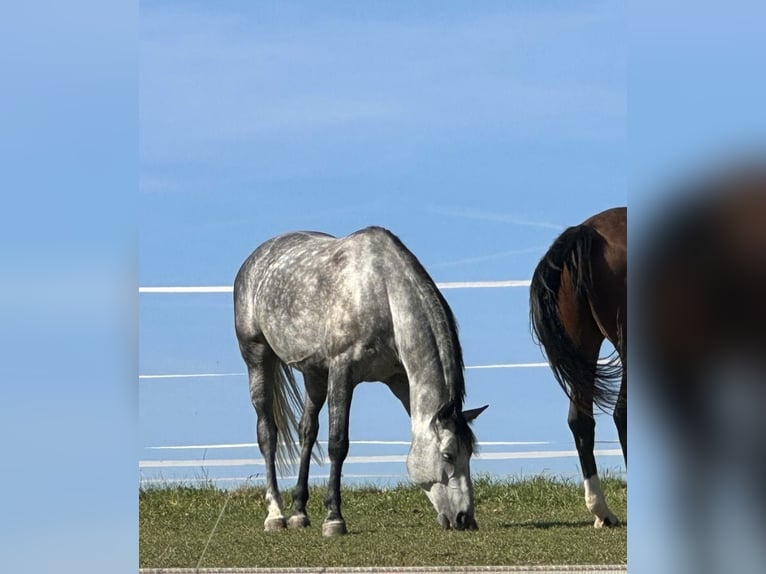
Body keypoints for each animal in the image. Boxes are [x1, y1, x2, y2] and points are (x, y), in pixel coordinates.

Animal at [233, 226, 488, 536]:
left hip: (313, 374)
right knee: (268, 433)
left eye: (470, 454)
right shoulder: (342, 371)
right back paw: (275, 514)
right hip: (257, 355)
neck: (384, 294)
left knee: (306, 430)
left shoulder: (400, 380)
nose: (464, 519)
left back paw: (299, 512)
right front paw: (334, 518)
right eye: (449, 455)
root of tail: (256, 257)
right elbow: (338, 444)